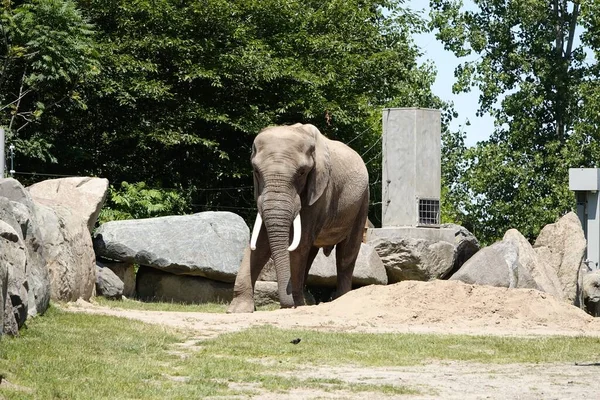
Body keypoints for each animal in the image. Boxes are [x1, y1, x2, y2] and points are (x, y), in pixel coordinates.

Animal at [227, 122, 368, 312]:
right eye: (256, 170)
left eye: (302, 172)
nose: (285, 305)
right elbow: (262, 242)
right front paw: (238, 310)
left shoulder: (320, 191)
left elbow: (299, 244)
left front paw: (296, 305)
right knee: (311, 253)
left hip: (362, 202)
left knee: (346, 254)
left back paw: (338, 299)